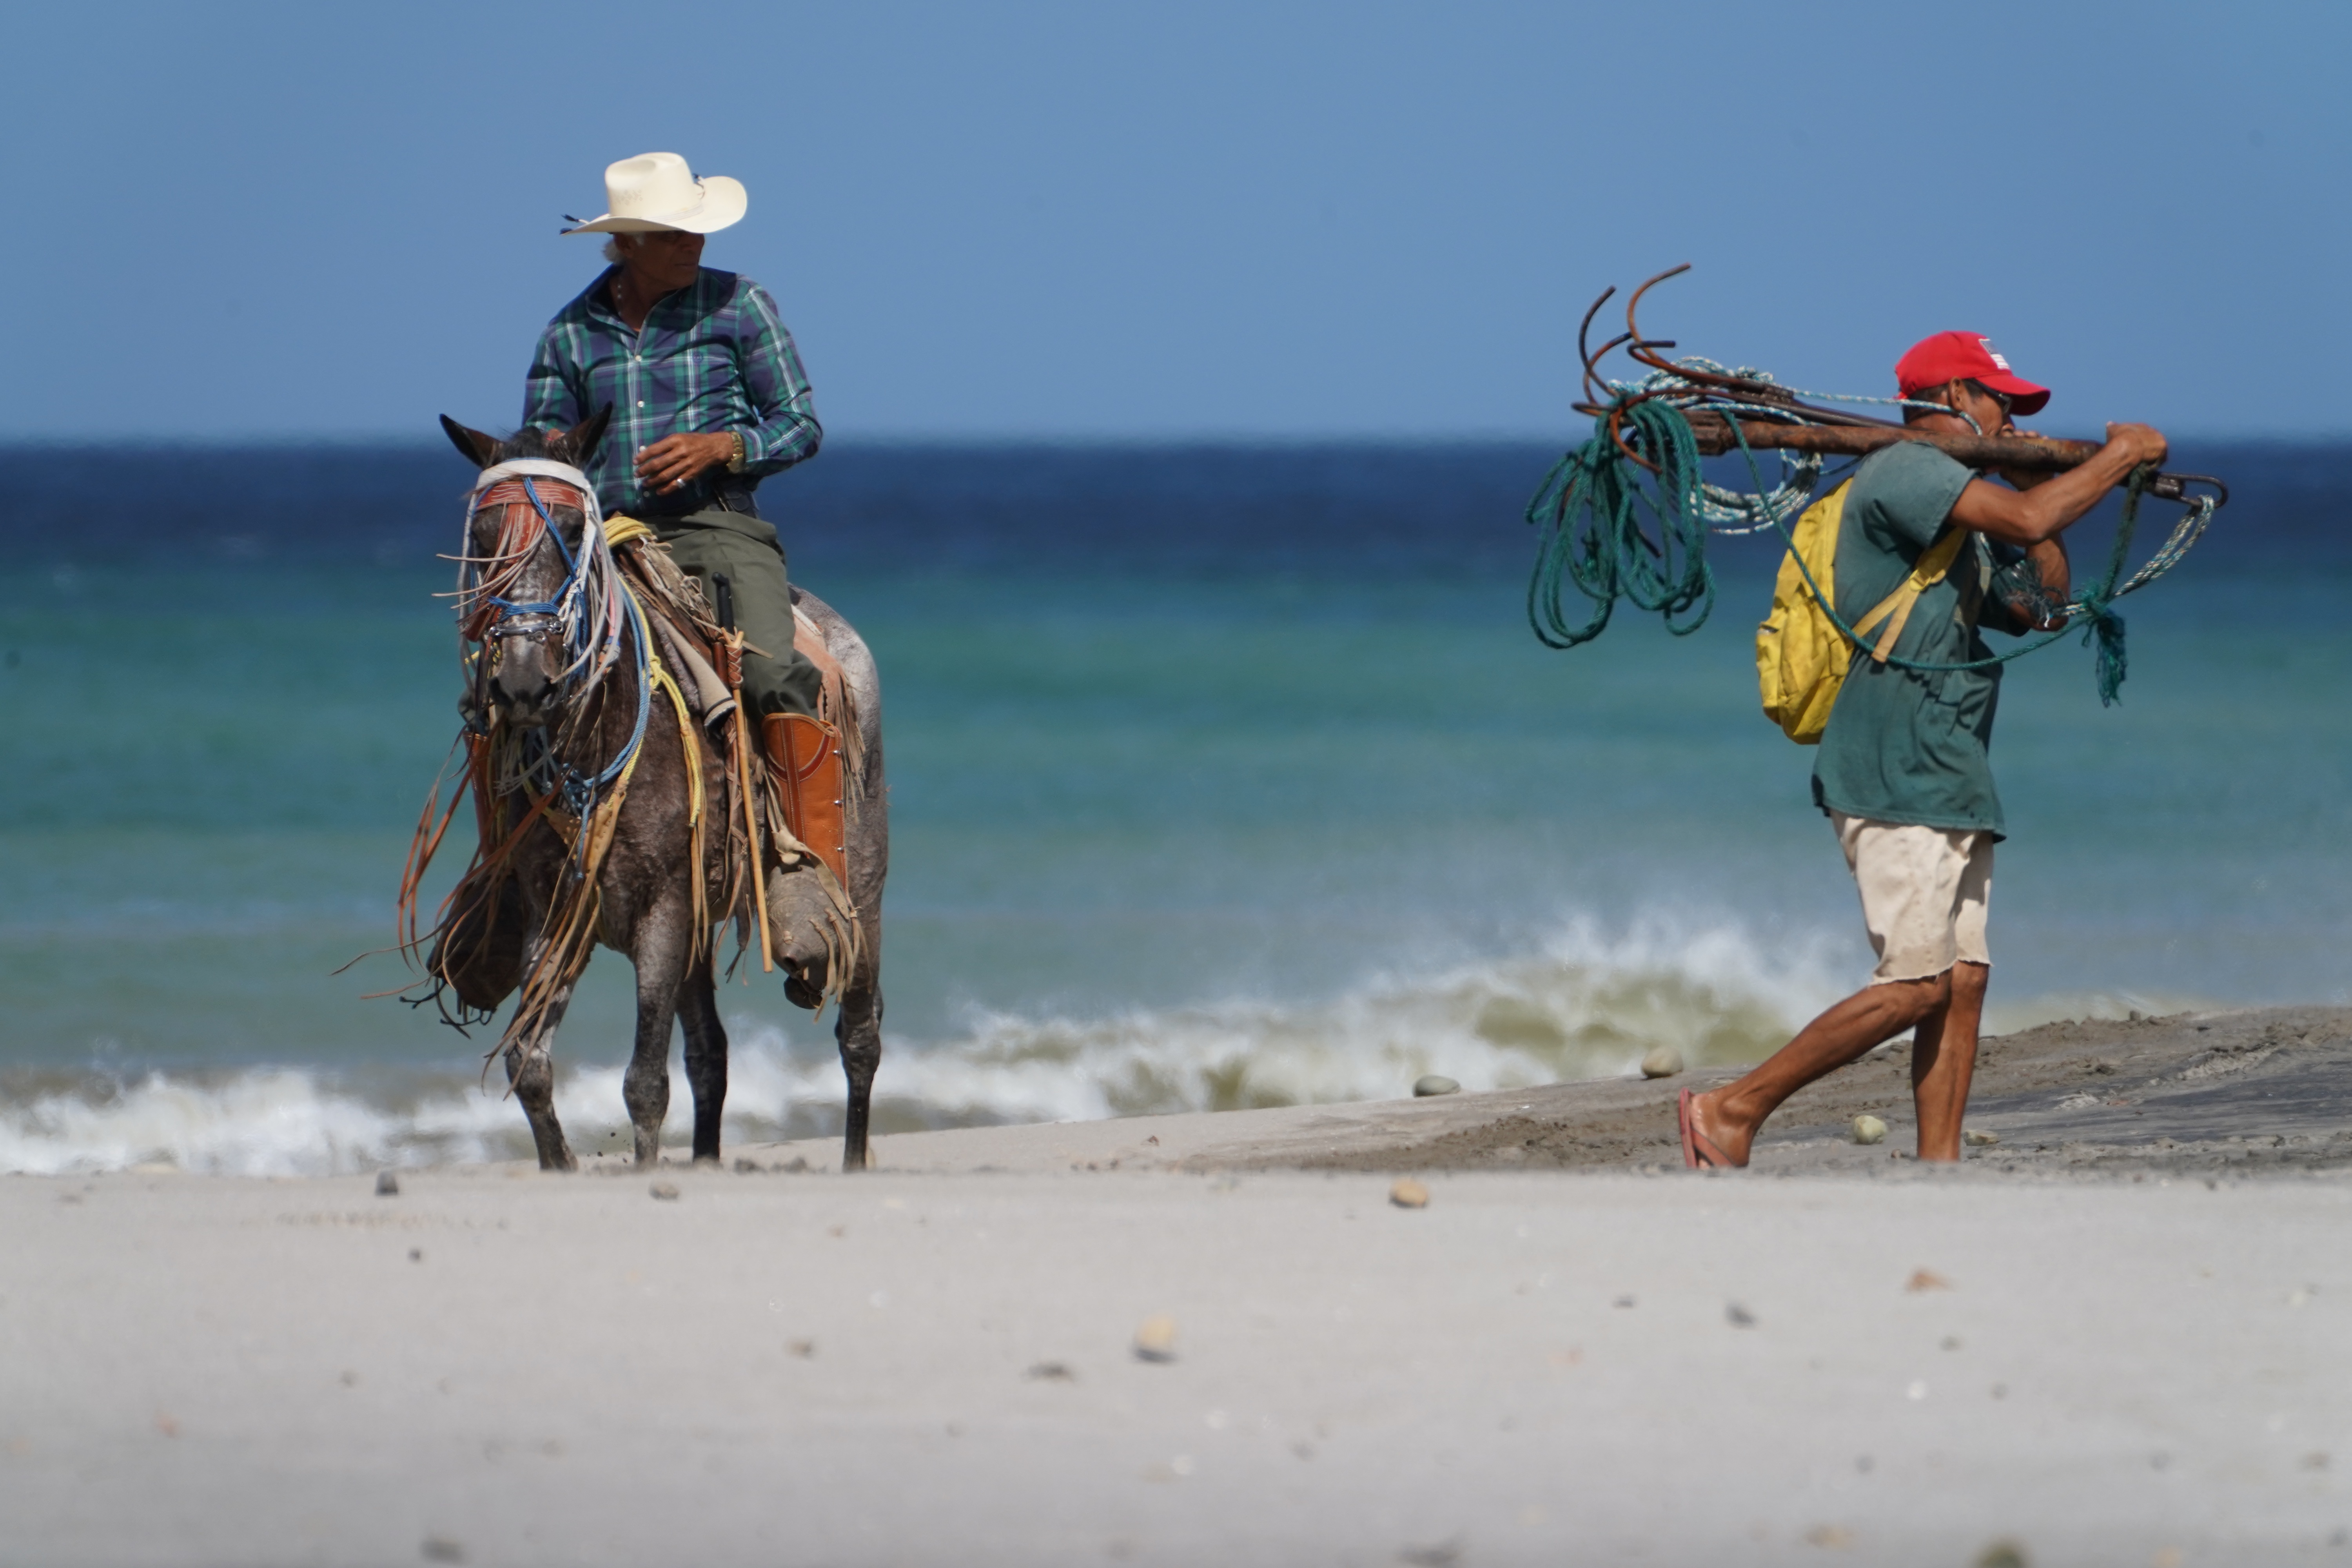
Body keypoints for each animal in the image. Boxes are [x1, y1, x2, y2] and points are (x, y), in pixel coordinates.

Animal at [428, 411, 884, 1171]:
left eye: (573, 529)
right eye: (484, 539)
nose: (522, 682)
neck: (599, 738)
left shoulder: (664, 912)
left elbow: (644, 1083)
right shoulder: (558, 916)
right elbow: (530, 1063)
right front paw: (560, 1166)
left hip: (861, 892)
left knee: (860, 1038)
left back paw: (851, 1160)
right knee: (711, 1056)